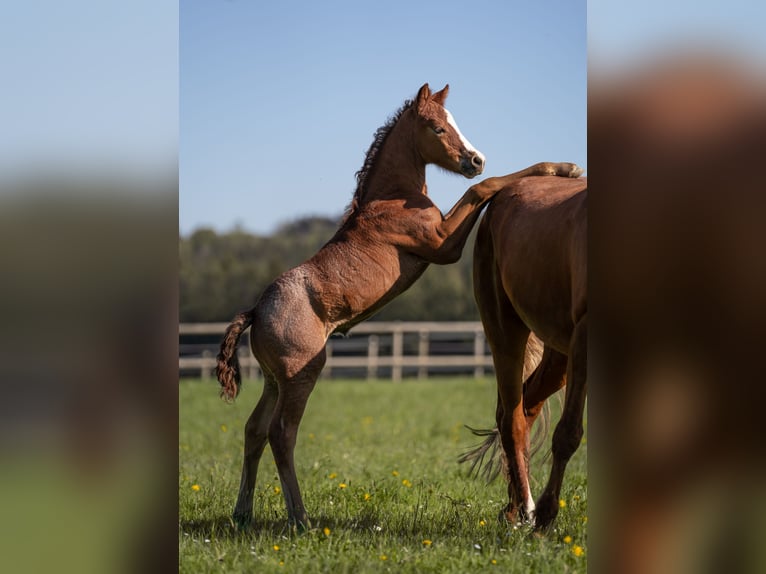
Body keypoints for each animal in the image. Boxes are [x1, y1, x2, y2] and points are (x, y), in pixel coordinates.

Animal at [468, 174, 588, 532]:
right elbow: (568, 434)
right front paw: (546, 516)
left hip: (559, 355)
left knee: (526, 406)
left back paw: (514, 506)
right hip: (506, 333)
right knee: (513, 421)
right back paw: (526, 509)